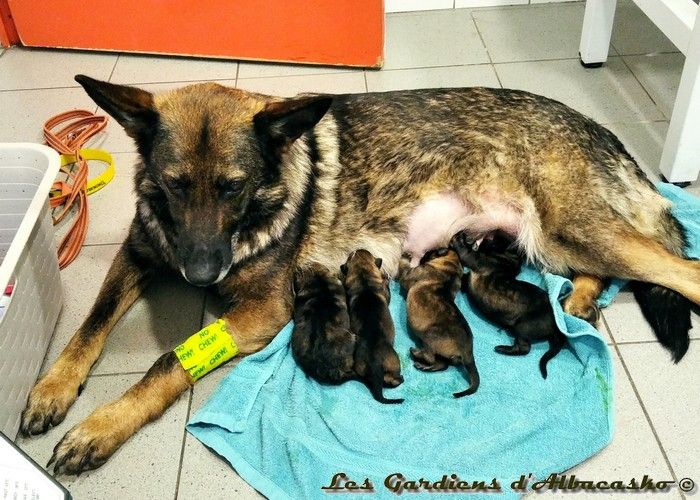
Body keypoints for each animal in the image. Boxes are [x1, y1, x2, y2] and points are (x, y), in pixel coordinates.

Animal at [340, 248, 404, 404]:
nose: (359, 248)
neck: (363, 277)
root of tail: (375, 365)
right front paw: (385, 278)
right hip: (394, 364)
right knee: (393, 380)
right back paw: (401, 378)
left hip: (360, 367)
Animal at [396, 248, 478, 396]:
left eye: (429, 252)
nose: (423, 256)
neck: (450, 268)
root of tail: (468, 350)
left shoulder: (410, 274)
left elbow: (404, 267)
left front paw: (406, 256)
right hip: (442, 352)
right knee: (442, 364)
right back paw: (424, 366)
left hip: (429, 336)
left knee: (430, 356)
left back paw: (416, 353)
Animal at [448, 230, 568, 378]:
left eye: (497, 239)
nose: (492, 233)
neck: (507, 258)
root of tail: (556, 326)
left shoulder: (476, 260)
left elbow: (466, 253)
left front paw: (458, 238)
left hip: (524, 327)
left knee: (524, 348)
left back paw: (502, 348)